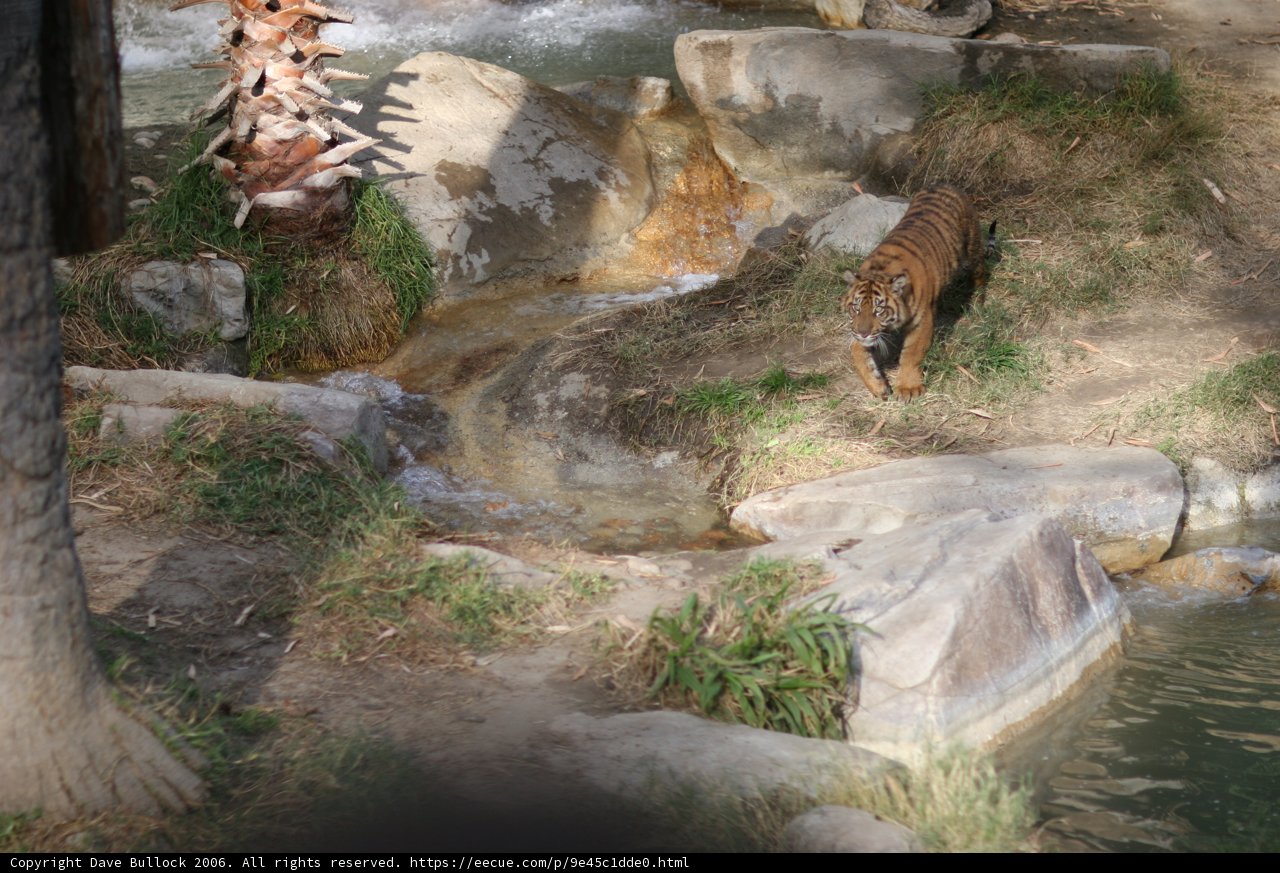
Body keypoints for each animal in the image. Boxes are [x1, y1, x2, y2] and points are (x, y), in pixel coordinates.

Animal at [841, 186, 990, 401]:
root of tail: (944, 185)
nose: (863, 332)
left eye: (879, 310)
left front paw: (908, 388)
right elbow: (858, 354)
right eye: (856, 308)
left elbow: (911, 354)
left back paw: (978, 303)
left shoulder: (921, 322)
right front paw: (878, 387)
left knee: (980, 273)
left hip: (972, 250)